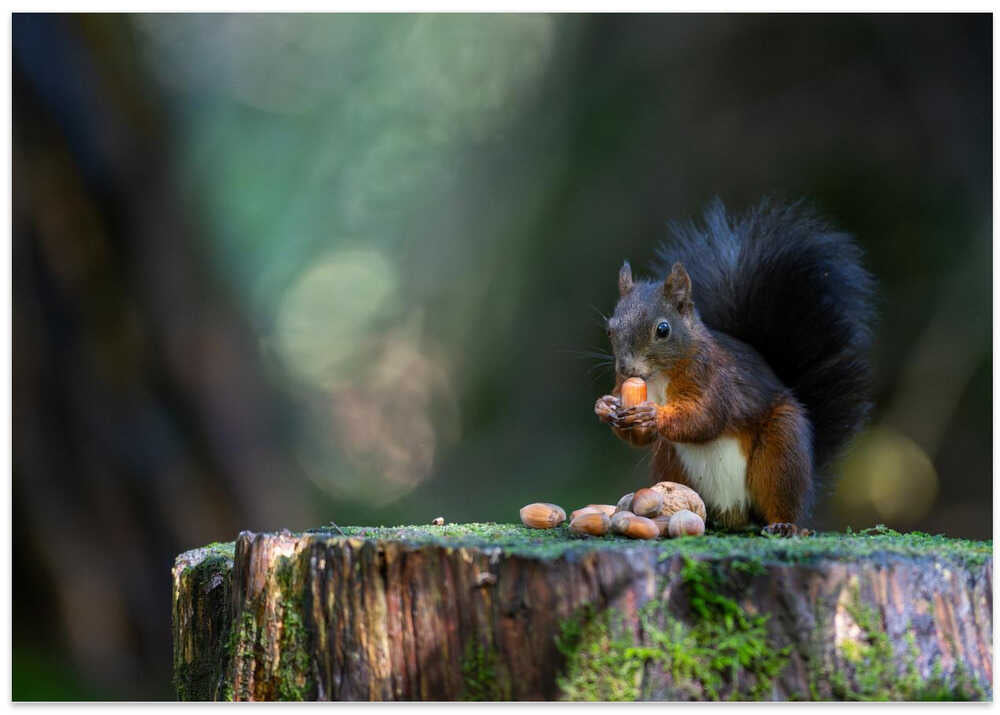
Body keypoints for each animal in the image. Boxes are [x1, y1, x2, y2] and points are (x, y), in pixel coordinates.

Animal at [594, 198, 875, 536]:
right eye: (610, 329)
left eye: (663, 330)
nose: (627, 369)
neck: (659, 379)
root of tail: (735, 515)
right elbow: (641, 437)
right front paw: (604, 406)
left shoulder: (713, 378)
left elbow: (705, 417)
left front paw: (653, 414)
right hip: (670, 460)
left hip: (781, 450)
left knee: (781, 497)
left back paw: (785, 525)